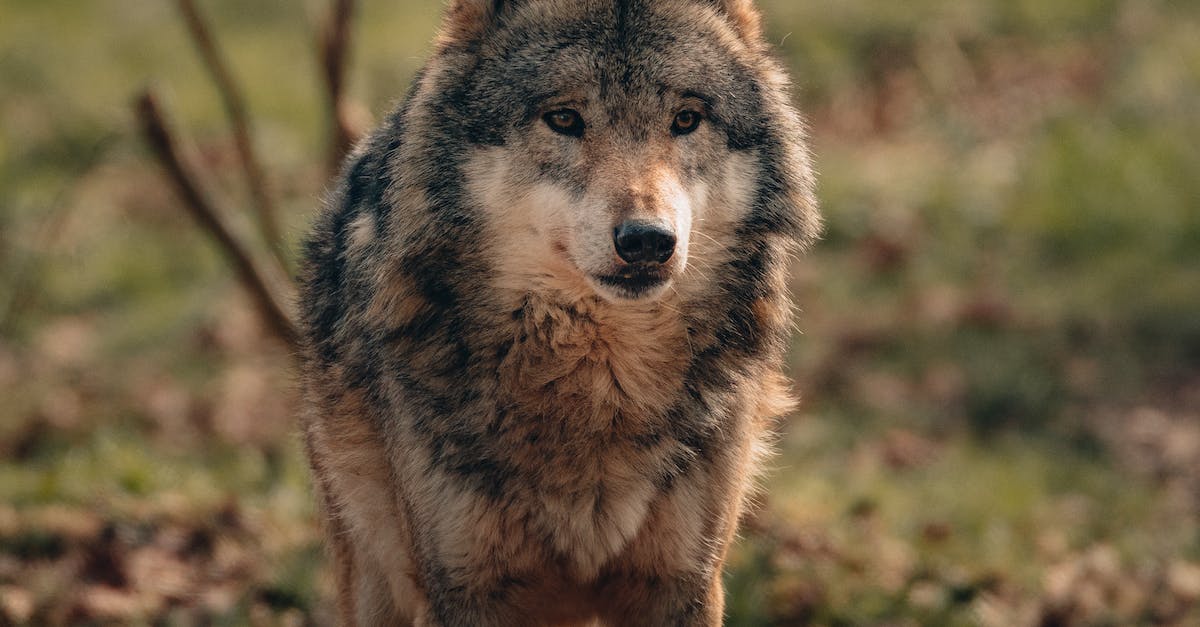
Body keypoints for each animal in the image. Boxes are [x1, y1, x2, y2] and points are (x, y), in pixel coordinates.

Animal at [298, 0, 820, 619]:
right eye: (565, 119)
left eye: (686, 119)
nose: (648, 240)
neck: (599, 381)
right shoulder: (463, 590)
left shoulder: (683, 584)